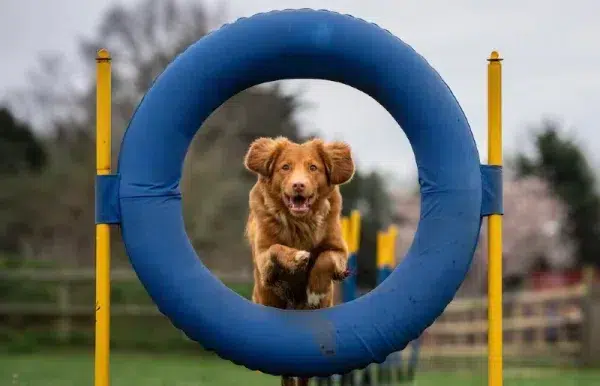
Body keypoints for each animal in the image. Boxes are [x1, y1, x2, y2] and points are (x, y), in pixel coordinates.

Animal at [244, 137, 356, 384]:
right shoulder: (264, 257)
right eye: (285, 167)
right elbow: (276, 248)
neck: (300, 222)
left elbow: (325, 258)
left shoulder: (338, 250)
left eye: (313, 167)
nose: (298, 185)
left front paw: (314, 290)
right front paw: (297, 257)